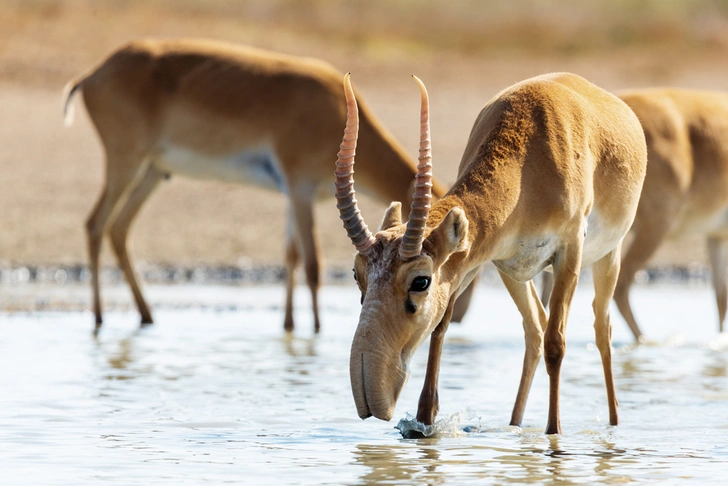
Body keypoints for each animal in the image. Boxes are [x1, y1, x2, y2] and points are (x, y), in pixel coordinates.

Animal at [61, 39, 456, 334]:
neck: (335, 106)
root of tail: (92, 74)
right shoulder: (299, 188)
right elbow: (313, 264)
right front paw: (316, 330)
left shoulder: (294, 195)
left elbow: (291, 255)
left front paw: (290, 325)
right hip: (126, 162)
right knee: (96, 223)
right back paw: (99, 318)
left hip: (153, 172)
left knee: (118, 228)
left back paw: (146, 316)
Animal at [336, 71, 648, 432]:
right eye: (357, 275)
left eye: (420, 281)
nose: (369, 392)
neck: (527, 165)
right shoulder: (477, 260)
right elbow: (441, 328)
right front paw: (423, 423)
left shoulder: (570, 250)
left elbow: (557, 343)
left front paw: (554, 432)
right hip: (516, 273)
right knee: (535, 329)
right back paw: (514, 424)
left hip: (606, 257)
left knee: (600, 329)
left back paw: (613, 423)